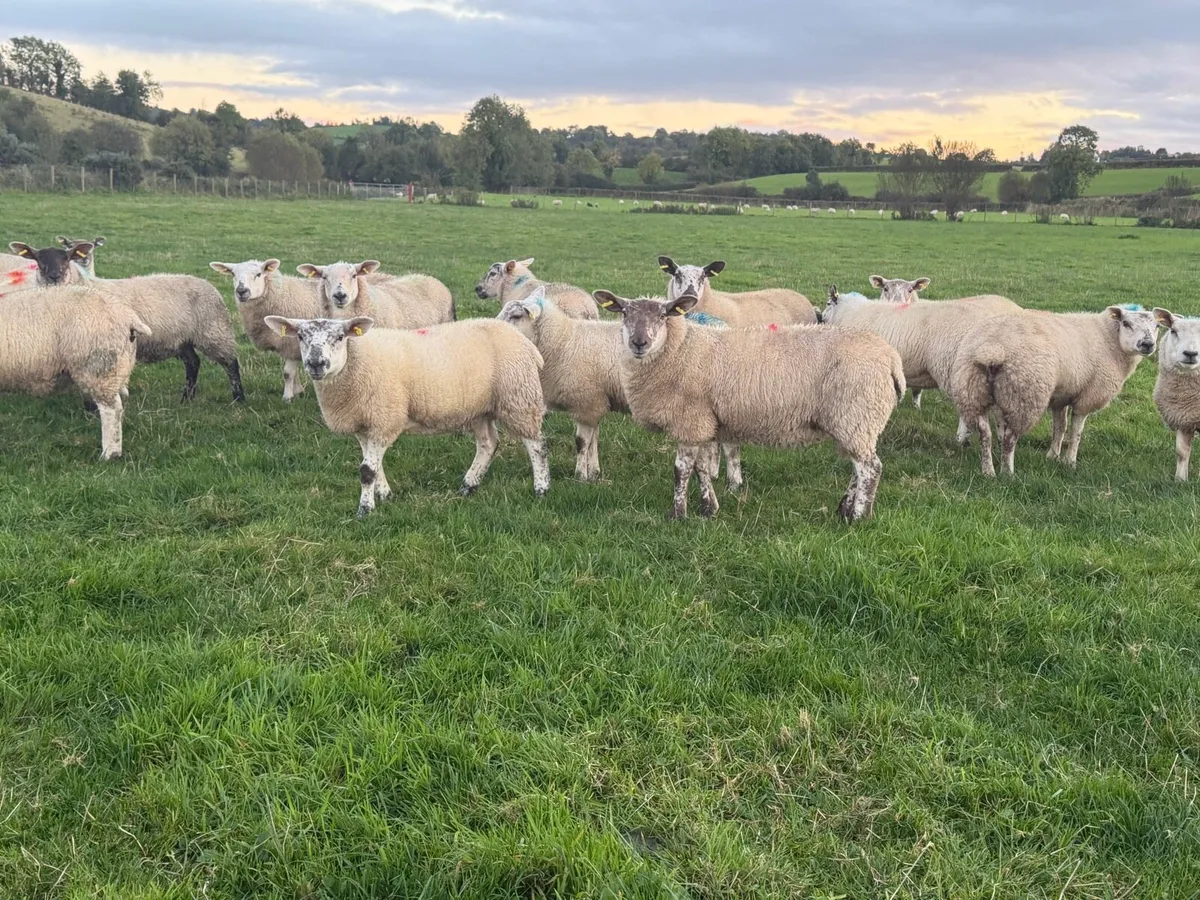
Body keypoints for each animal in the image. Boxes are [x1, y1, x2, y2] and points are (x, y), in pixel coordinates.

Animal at [263, 314, 550, 517]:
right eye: (300, 336)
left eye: (341, 337)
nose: (316, 364)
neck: (356, 363)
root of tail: (524, 341)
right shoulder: (364, 425)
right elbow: (375, 467)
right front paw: (385, 496)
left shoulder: (384, 419)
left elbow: (367, 470)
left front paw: (365, 510)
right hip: (479, 408)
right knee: (488, 443)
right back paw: (469, 485)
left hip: (519, 398)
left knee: (537, 445)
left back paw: (541, 488)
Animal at [592, 290, 904, 521]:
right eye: (624, 313)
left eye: (662, 315)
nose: (639, 343)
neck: (681, 349)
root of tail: (891, 358)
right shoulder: (703, 421)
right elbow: (701, 467)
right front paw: (709, 508)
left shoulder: (689, 419)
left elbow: (681, 469)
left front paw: (677, 514)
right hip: (855, 421)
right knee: (858, 467)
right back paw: (844, 509)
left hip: (857, 414)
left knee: (870, 468)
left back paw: (859, 516)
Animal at [950, 305, 1159, 476]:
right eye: (1126, 323)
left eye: (1157, 326)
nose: (1147, 344)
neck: (1109, 340)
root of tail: (992, 349)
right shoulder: (1087, 398)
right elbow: (1076, 432)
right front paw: (1070, 462)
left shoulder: (1061, 397)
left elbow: (1059, 427)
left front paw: (1053, 456)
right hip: (1024, 396)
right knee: (1009, 439)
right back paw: (1008, 473)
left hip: (973, 391)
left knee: (985, 434)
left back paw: (988, 472)